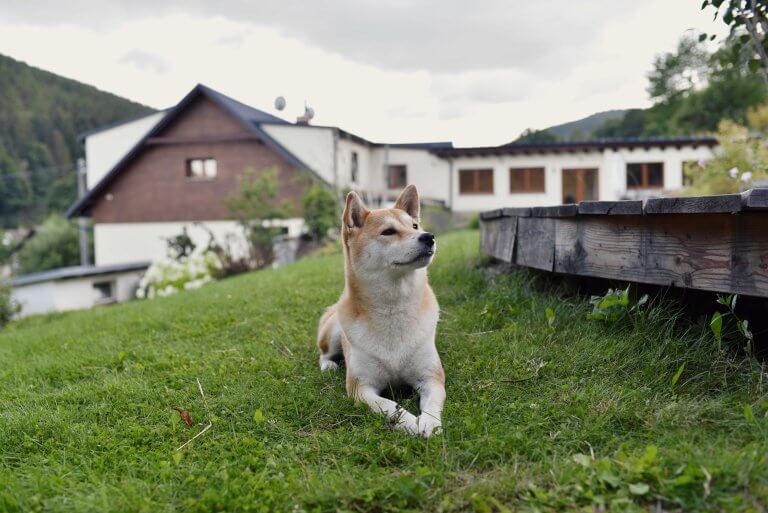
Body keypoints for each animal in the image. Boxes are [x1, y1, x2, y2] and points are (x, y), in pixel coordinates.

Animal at [316, 184, 445, 437]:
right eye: (388, 232)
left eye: (414, 226)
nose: (428, 236)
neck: (393, 308)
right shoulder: (360, 387)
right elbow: (388, 405)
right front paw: (409, 422)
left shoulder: (431, 377)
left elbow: (433, 401)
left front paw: (429, 422)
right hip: (333, 334)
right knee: (323, 353)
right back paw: (328, 365)